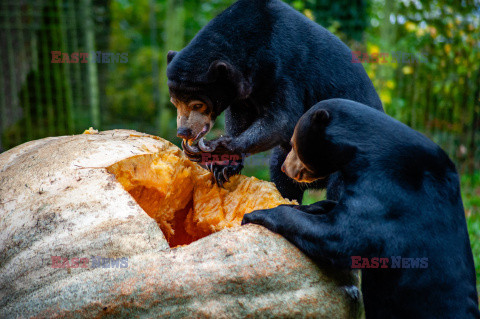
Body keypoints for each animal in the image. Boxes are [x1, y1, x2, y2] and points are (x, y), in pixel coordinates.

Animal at [166, 0, 382, 202]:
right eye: (175, 102)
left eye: (198, 104)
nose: (183, 132)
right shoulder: (243, 92)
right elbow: (238, 117)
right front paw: (223, 167)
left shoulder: (284, 68)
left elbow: (283, 118)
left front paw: (217, 150)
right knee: (281, 172)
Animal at [244, 99, 480, 318]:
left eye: (293, 143)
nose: (285, 168)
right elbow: (332, 208)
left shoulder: (387, 192)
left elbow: (341, 236)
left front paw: (257, 214)